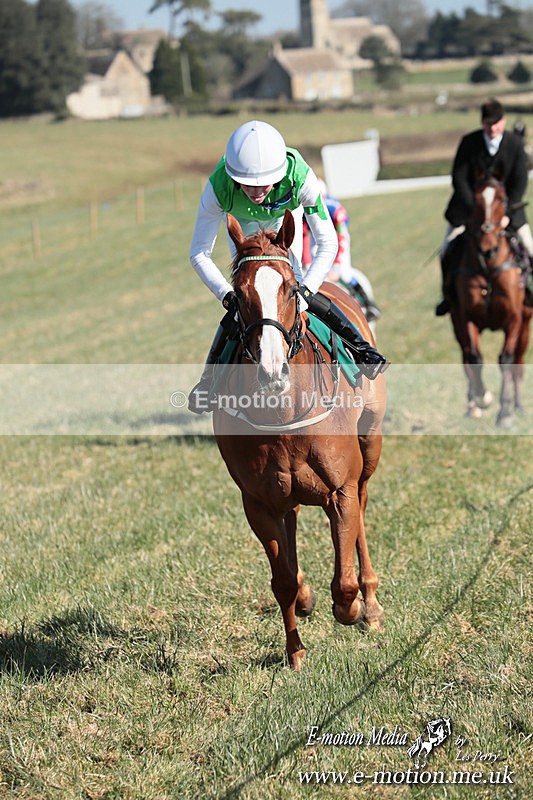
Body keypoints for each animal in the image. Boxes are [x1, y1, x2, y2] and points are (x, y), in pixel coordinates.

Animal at [212, 209, 386, 671]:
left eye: (290, 290)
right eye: (238, 295)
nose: (272, 369)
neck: (285, 414)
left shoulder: (340, 490)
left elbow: (343, 584)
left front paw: (353, 608)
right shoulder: (257, 502)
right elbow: (284, 581)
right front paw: (295, 651)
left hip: (370, 447)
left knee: (363, 512)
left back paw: (371, 604)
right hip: (283, 493)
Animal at [447, 174, 532, 427]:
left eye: (503, 200)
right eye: (474, 201)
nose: (486, 247)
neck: (488, 267)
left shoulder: (514, 319)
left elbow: (506, 360)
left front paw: (504, 413)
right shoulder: (467, 319)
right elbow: (475, 358)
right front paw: (482, 398)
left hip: (525, 327)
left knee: (518, 364)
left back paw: (518, 406)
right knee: (466, 357)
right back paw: (472, 405)